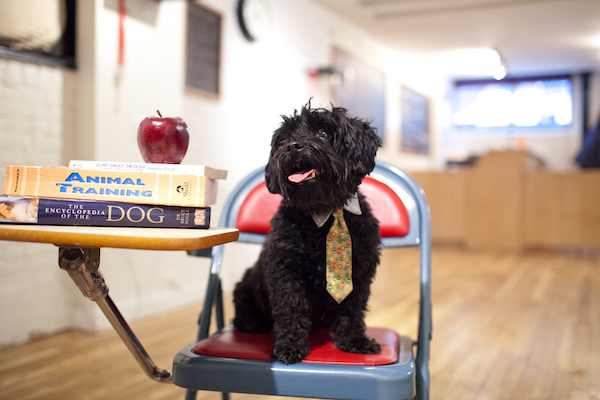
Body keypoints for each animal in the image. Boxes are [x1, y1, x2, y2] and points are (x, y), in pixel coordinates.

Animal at [232, 104, 382, 366]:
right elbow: (291, 310)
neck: (325, 212)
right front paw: (290, 347)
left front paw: (355, 342)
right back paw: (253, 323)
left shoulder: (360, 272)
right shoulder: (285, 271)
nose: (293, 146)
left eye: (323, 133)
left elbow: (353, 309)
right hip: (245, 289)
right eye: (285, 138)